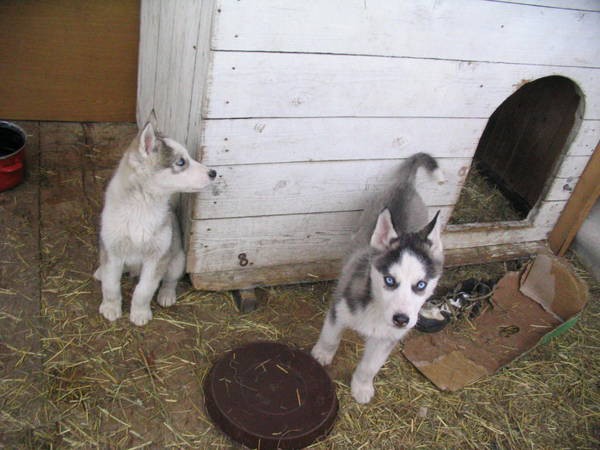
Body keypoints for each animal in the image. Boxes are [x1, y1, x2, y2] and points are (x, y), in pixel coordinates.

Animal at [94, 118, 216, 326]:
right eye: (181, 162)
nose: (214, 172)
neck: (142, 207)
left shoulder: (157, 257)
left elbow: (144, 290)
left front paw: (140, 313)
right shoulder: (112, 251)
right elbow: (111, 285)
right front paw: (110, 307)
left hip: (177, 260)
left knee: (170, 280)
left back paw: (166, 294)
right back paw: (100, 272)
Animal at [312, 153, 442, 402]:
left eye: (420, 285)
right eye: (390, 280)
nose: (401, 319)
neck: (376, 307)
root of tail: (406, 185)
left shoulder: (387, 339)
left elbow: (370, 366)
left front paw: (362, 388)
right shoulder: (338, 311)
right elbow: (330, 337)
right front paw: (321, 355)